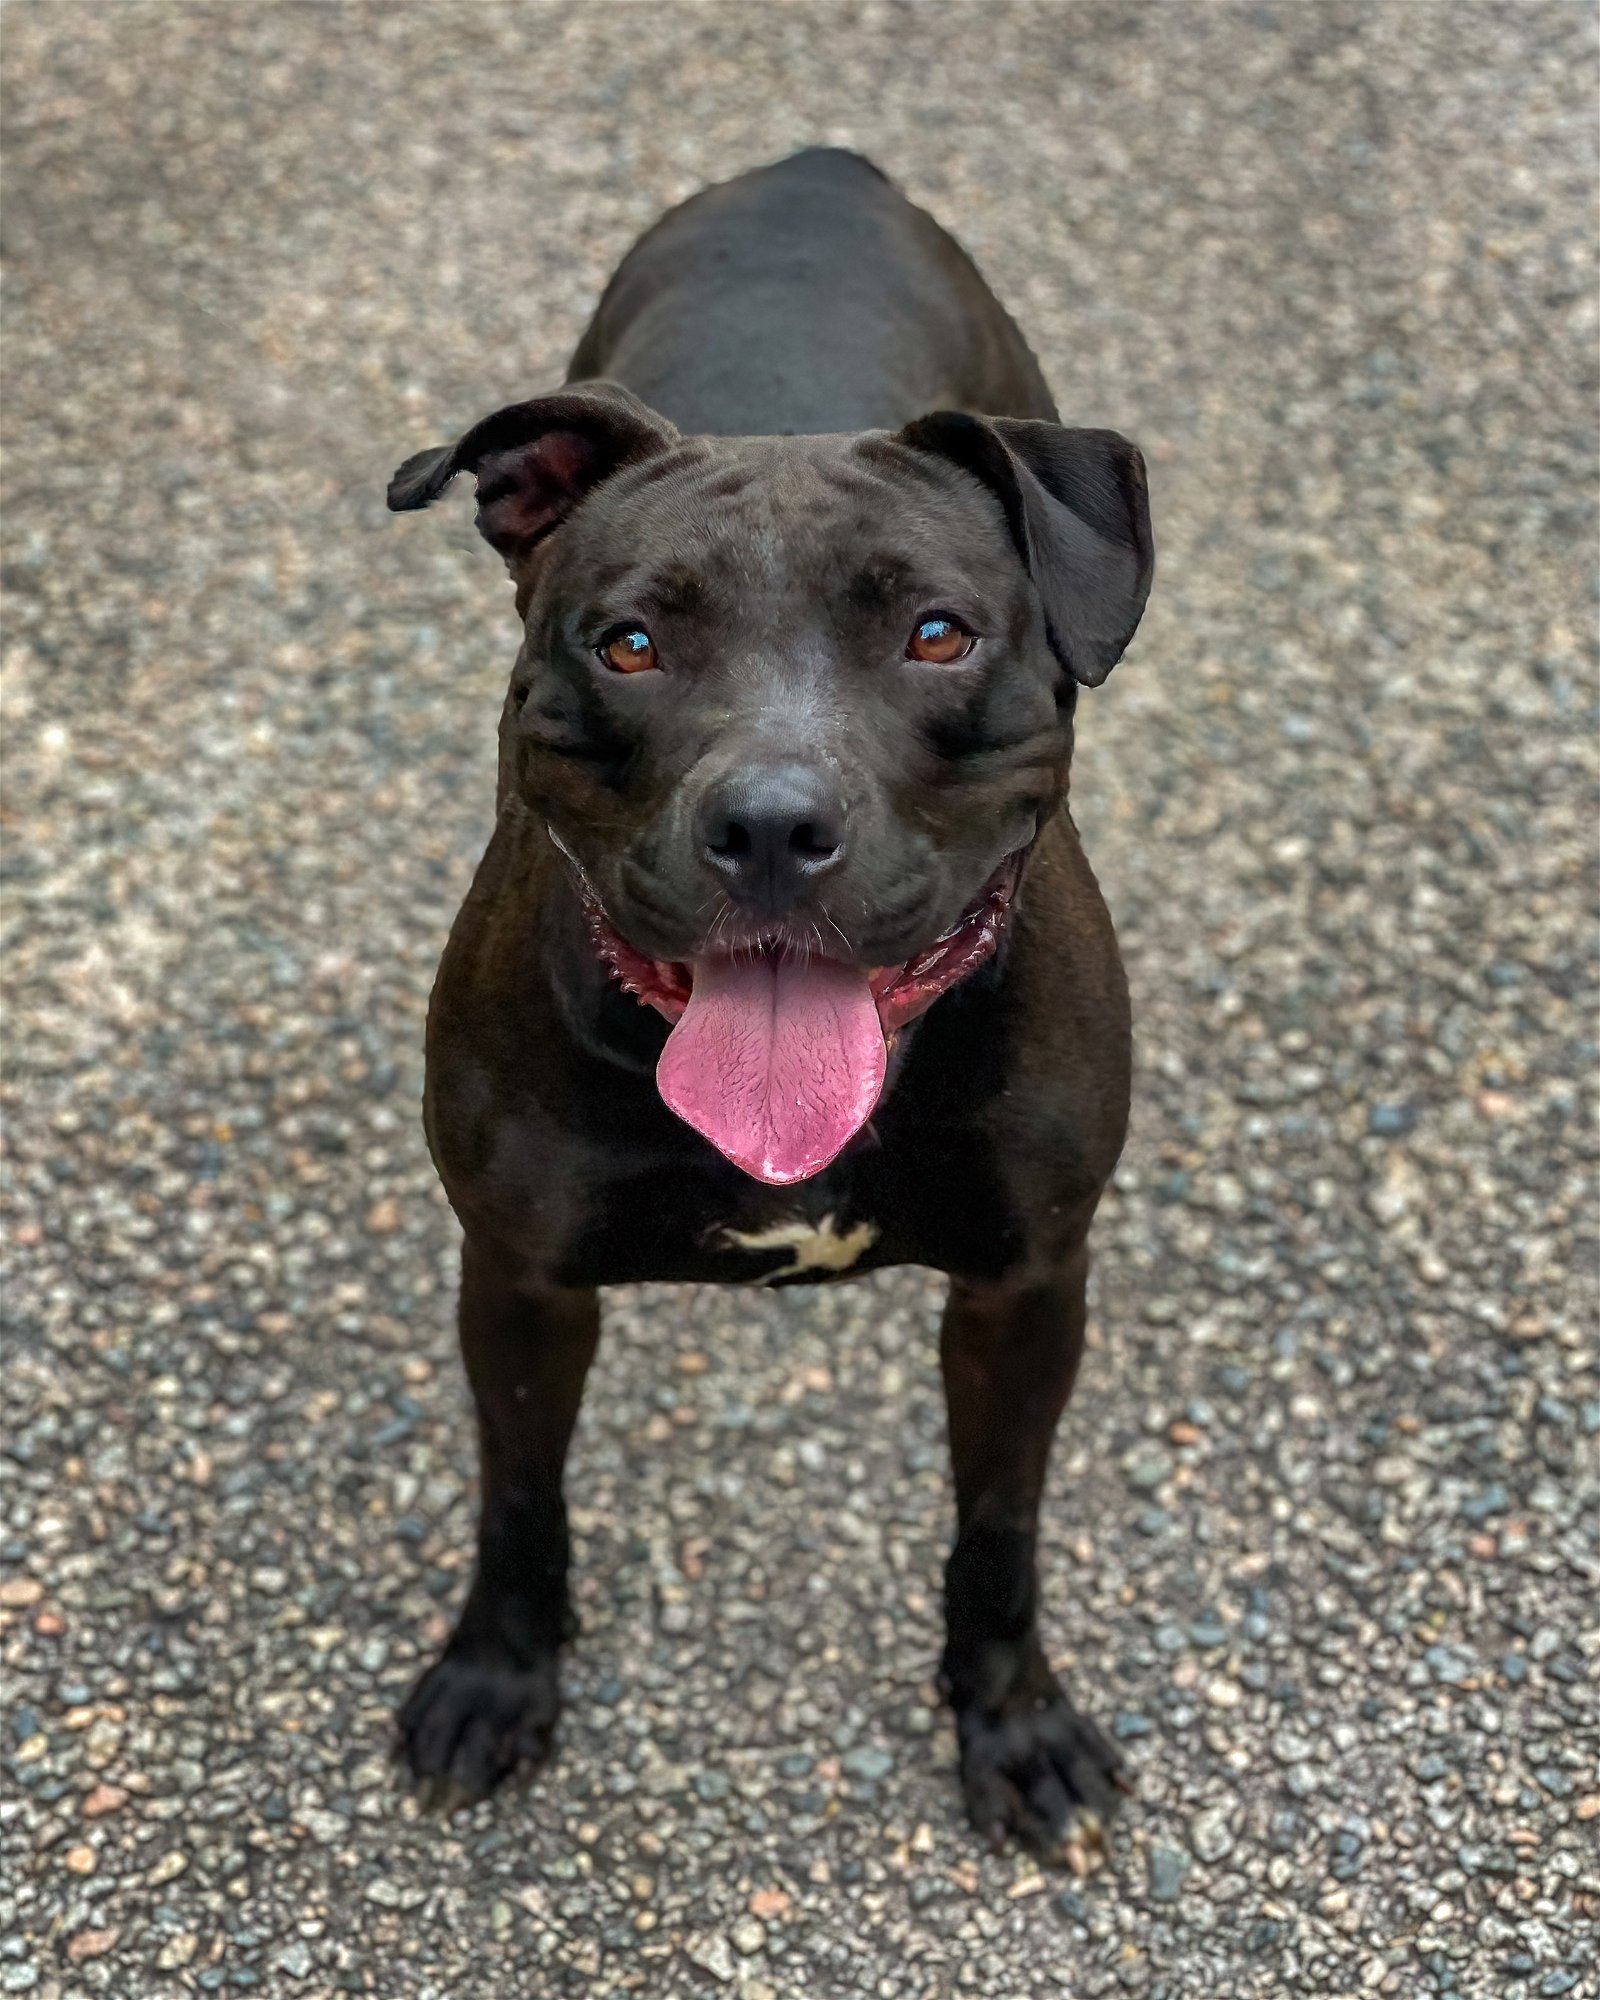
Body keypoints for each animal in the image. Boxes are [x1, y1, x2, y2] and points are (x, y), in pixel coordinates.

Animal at [394, 145, 1160, 1856]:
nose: (767, 823)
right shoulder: (518, 1279)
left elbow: (1000, 1525)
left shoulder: (1029, 1289)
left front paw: (1013, 1724)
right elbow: (516, 1496)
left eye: (938, 634)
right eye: (629, 643)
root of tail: (817, 167)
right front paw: (496, 1676)